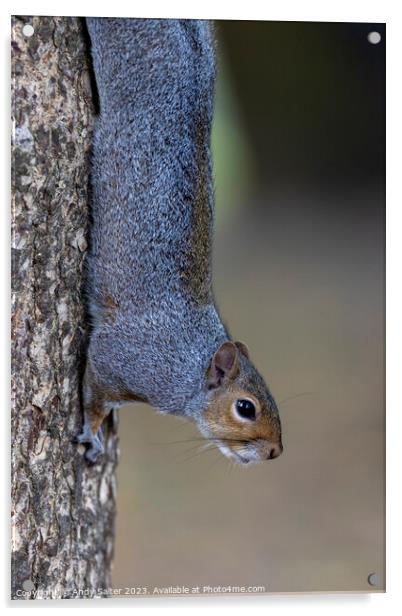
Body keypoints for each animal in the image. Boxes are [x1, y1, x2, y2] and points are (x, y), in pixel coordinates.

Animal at [77, 16, 282, 464]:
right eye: (245, 407)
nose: (276, 451)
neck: (190, 365)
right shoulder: (122, 359)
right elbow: (95, 394)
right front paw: (93, 433)